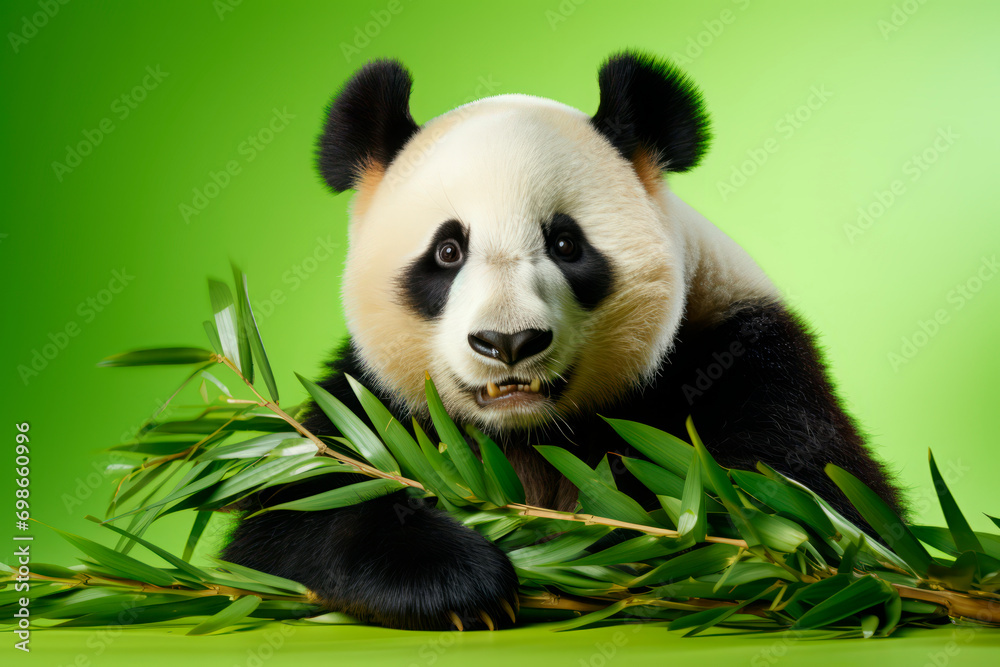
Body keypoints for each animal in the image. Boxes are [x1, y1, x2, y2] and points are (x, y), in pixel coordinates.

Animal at [224, 51, 905, 631]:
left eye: (565, 243)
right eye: (448, 251)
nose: (508, 342)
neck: (530, 431)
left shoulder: (740, 351)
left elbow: (800, 508)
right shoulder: (372, 400)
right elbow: (294, 518)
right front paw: (462, 584)